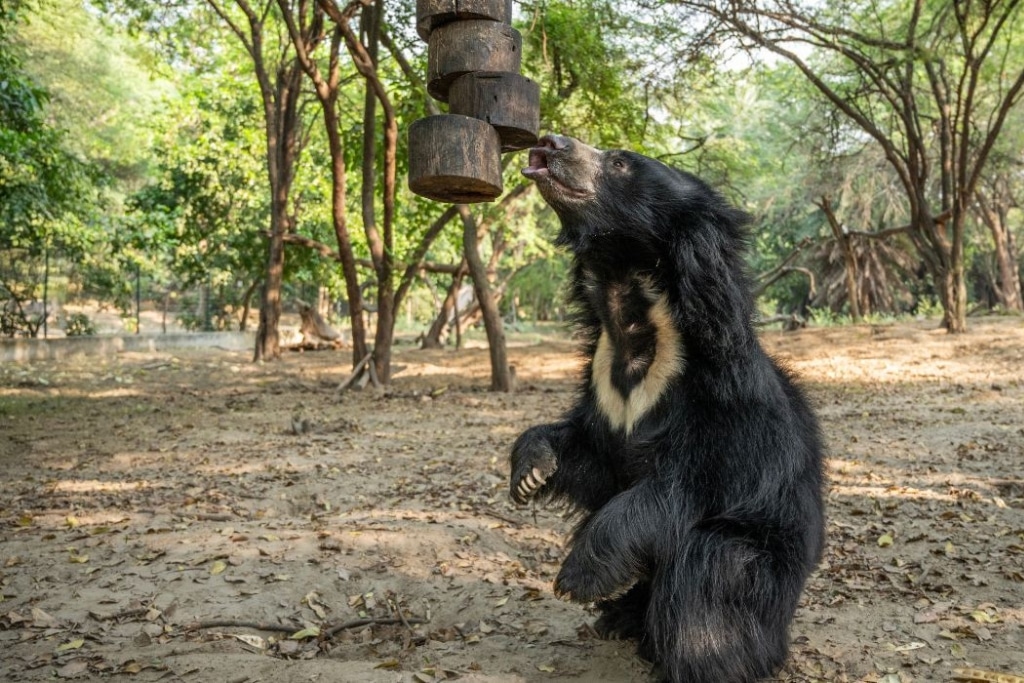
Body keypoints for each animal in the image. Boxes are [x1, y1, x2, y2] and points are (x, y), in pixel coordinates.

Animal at [510, 134, 826, 683]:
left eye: (619, 162)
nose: (551, 141)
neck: (629, 311)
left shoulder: (724, 405)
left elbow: (683, 488)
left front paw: (577, 578)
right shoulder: (605, 389)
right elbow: (593, 456)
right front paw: (530, 470)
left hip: (763, 571)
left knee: (708, 568)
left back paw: (699, 659)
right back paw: (620, 617)